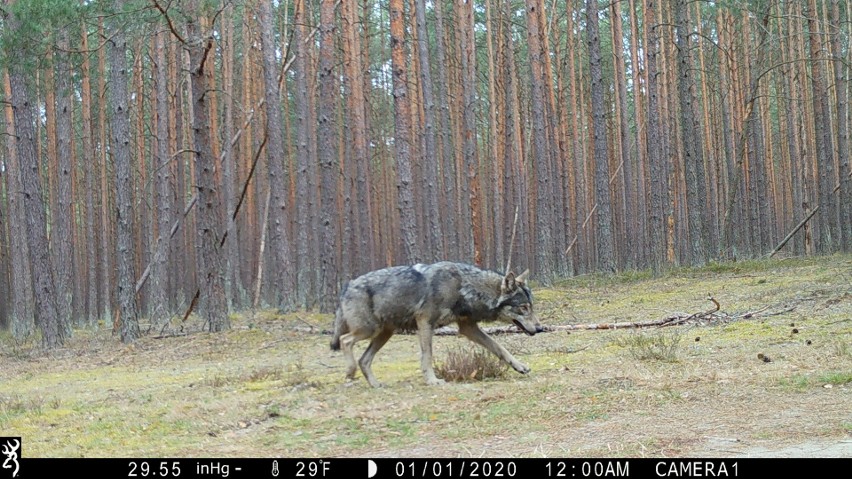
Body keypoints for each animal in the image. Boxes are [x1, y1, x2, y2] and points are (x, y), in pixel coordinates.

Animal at [330, 260, 544, 388]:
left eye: (531, 306)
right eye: (523, 308)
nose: (540, 328)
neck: (464, 287)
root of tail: (347, 286)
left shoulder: (468, 327)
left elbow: (499, 347)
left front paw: (520, 366)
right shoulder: (425, 322)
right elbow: (427, 356)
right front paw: (432, 380)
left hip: (384, 334)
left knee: (364, 359)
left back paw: (375, 384)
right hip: (369, 330)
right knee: (345, 340)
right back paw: (350, 373)